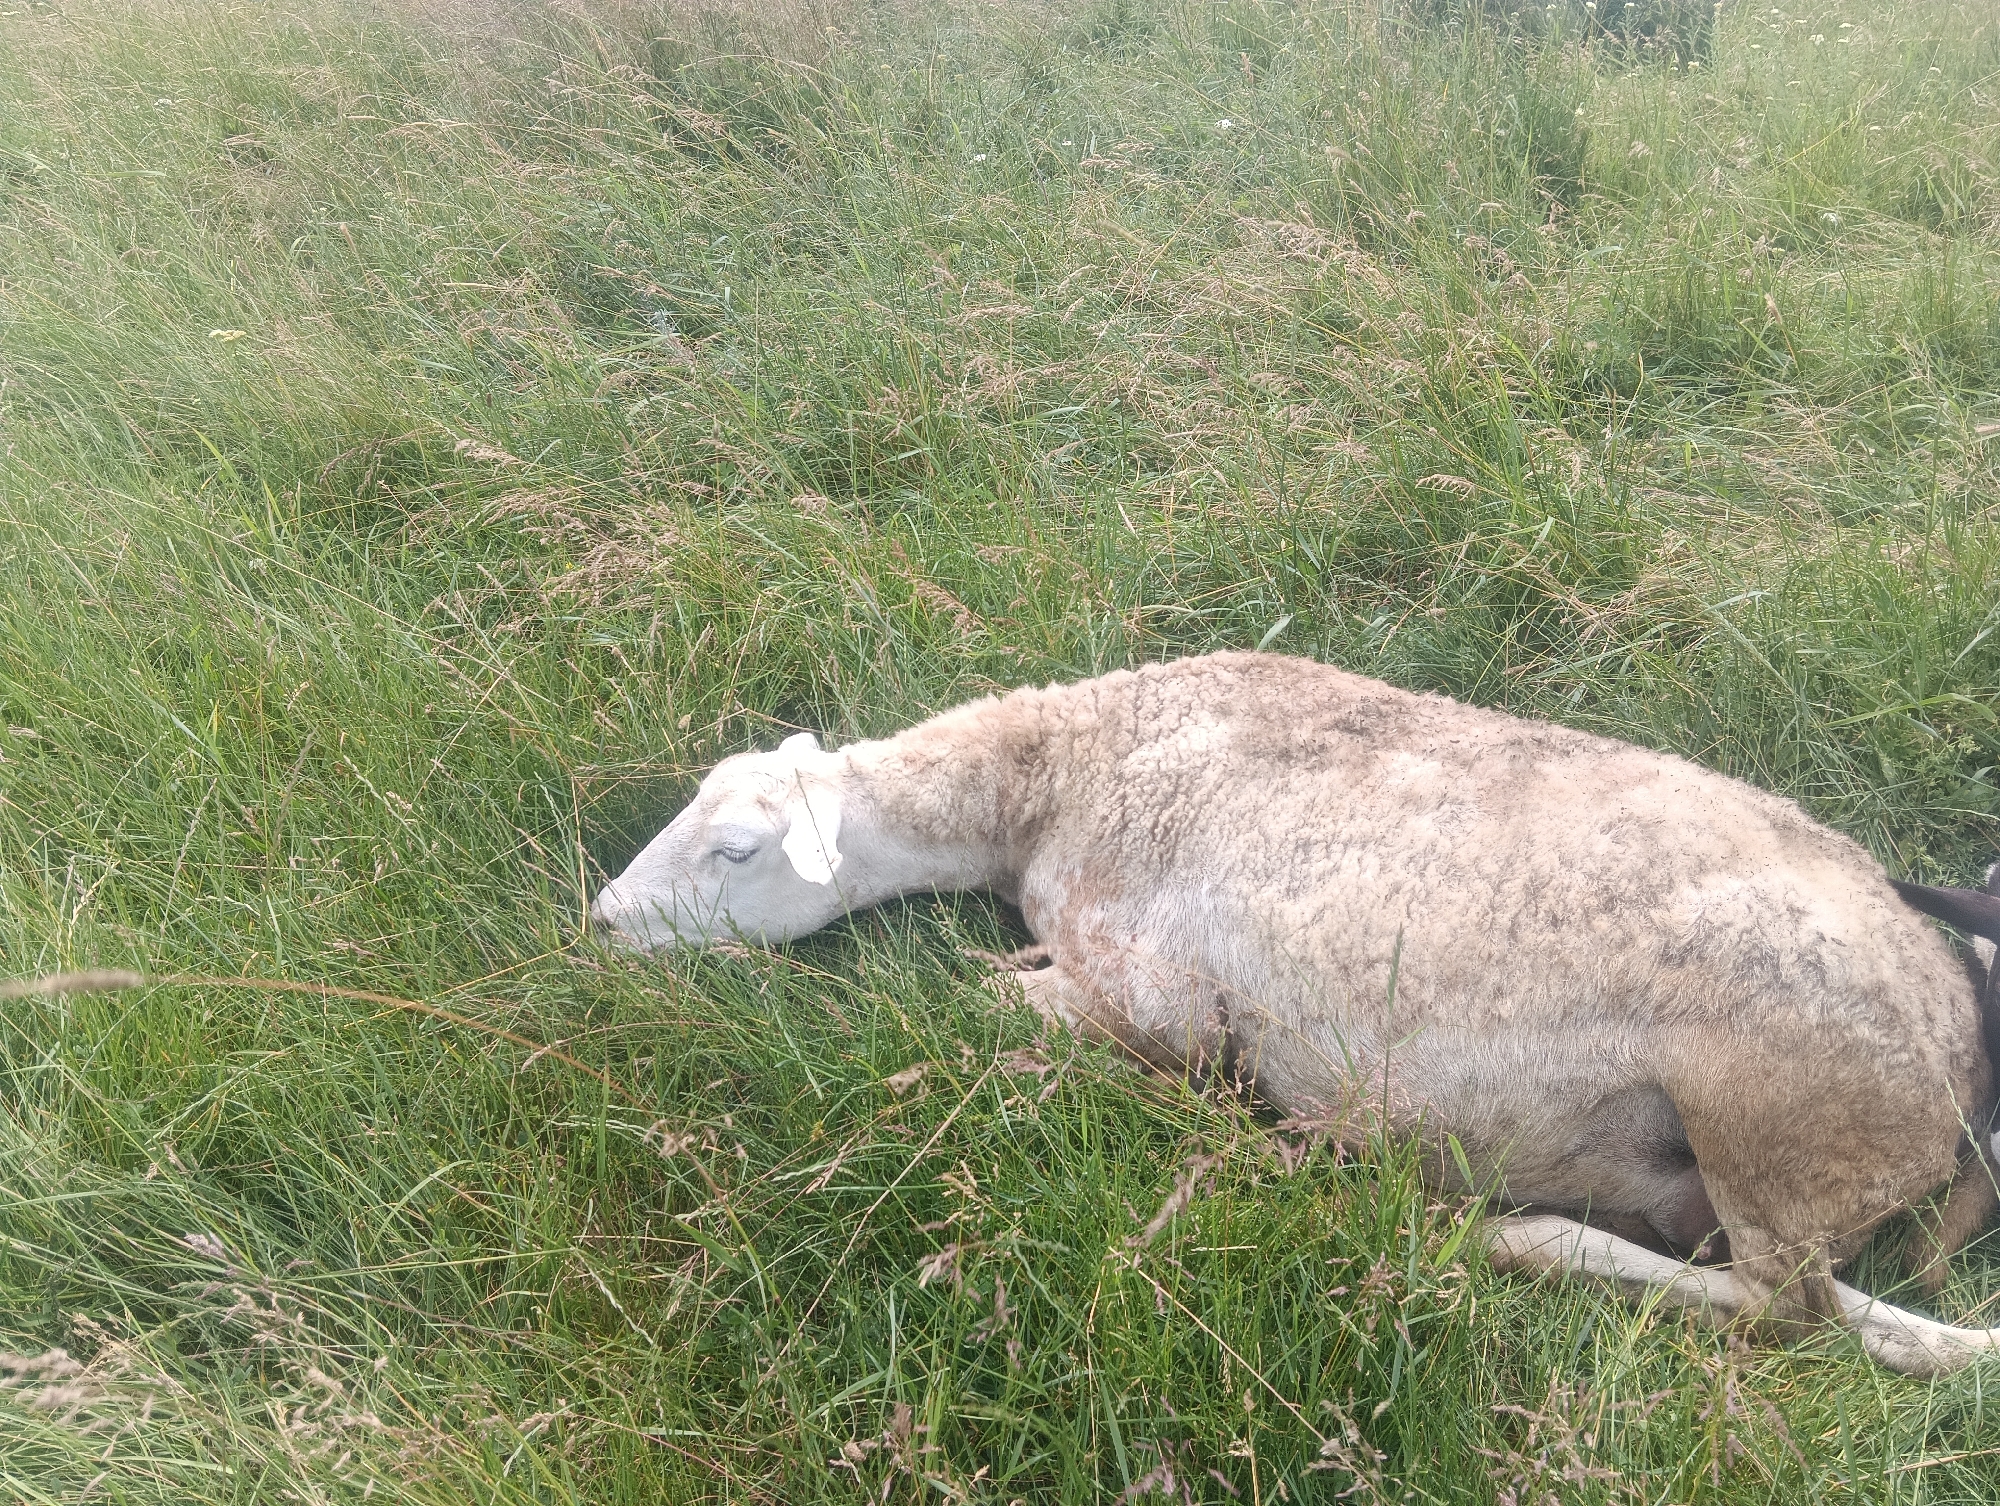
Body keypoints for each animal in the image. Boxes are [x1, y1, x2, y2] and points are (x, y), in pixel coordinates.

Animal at [590, 651, 2000, 1375]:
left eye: (733, 851)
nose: (599, 925)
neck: (1062, 779)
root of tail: (1954, 1045)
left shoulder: (1155, 1000)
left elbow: (987, 1013)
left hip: (1775, 1125)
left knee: (1801, 1313)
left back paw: (1511, 1235)